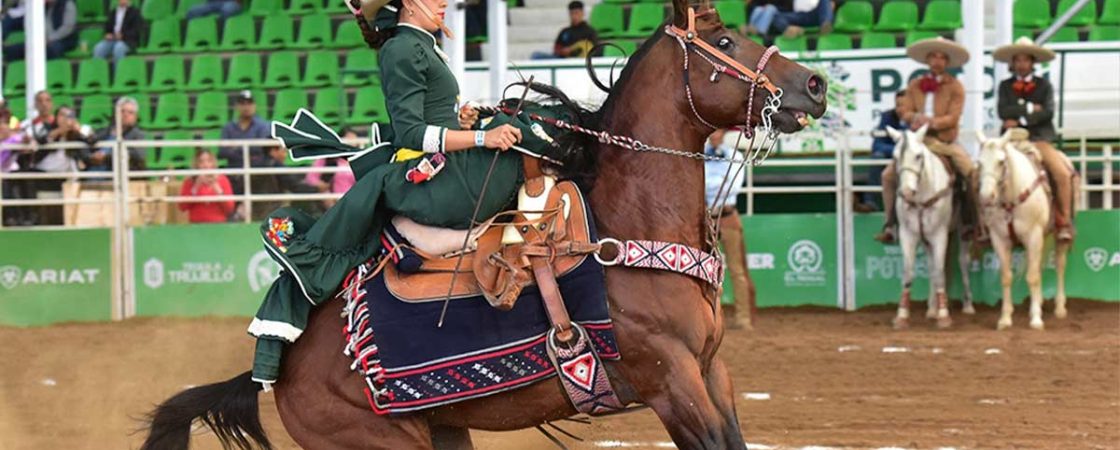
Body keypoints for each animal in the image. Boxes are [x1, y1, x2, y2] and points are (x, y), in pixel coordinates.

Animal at [140, 1, 828, 447]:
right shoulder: (671, 382)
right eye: (728, 44)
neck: (630, 224)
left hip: (445, 429)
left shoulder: (712, 373)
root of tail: (280, 371)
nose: (817, 84)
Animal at [887, 124, 976, 329]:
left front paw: (944, 316)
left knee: (962, 261)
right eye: (895, 157)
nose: (906, 192)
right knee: (930, 264)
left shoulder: (939, 235)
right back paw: (932, 309)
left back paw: (967, 305)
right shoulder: (908, 234)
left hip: (961, 231)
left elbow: (939, 271)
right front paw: (902, 315)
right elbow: (909, 272)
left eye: (918, 156)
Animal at [976, 129, 1070, 331]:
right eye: (979, 162)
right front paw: (1005, 318)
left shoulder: (1033, 236)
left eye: (1001, 161)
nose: (986, 196)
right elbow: (1006, 277)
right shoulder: (1000, 239)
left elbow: (1032, 277)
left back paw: (1059, 307)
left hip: (1057, 237)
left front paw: (1036, 319)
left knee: (1059, 265)